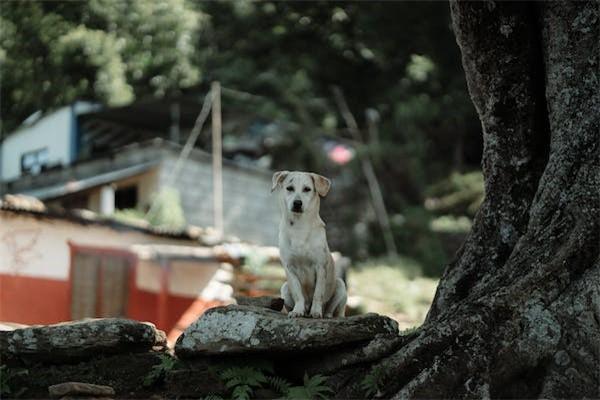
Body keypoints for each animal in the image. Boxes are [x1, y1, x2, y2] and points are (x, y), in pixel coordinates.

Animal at [272, 170, 346, 318]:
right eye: (289, 188)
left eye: (307, 189)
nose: (297, 203)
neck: (299, 227)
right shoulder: (289, 268)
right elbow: (297, 293)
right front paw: (297, 311)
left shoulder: (320, 266)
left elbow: (318, 293)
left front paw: (316, 312)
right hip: (284, 288)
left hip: (341, 286)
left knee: (335, 311)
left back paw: (327, 315)